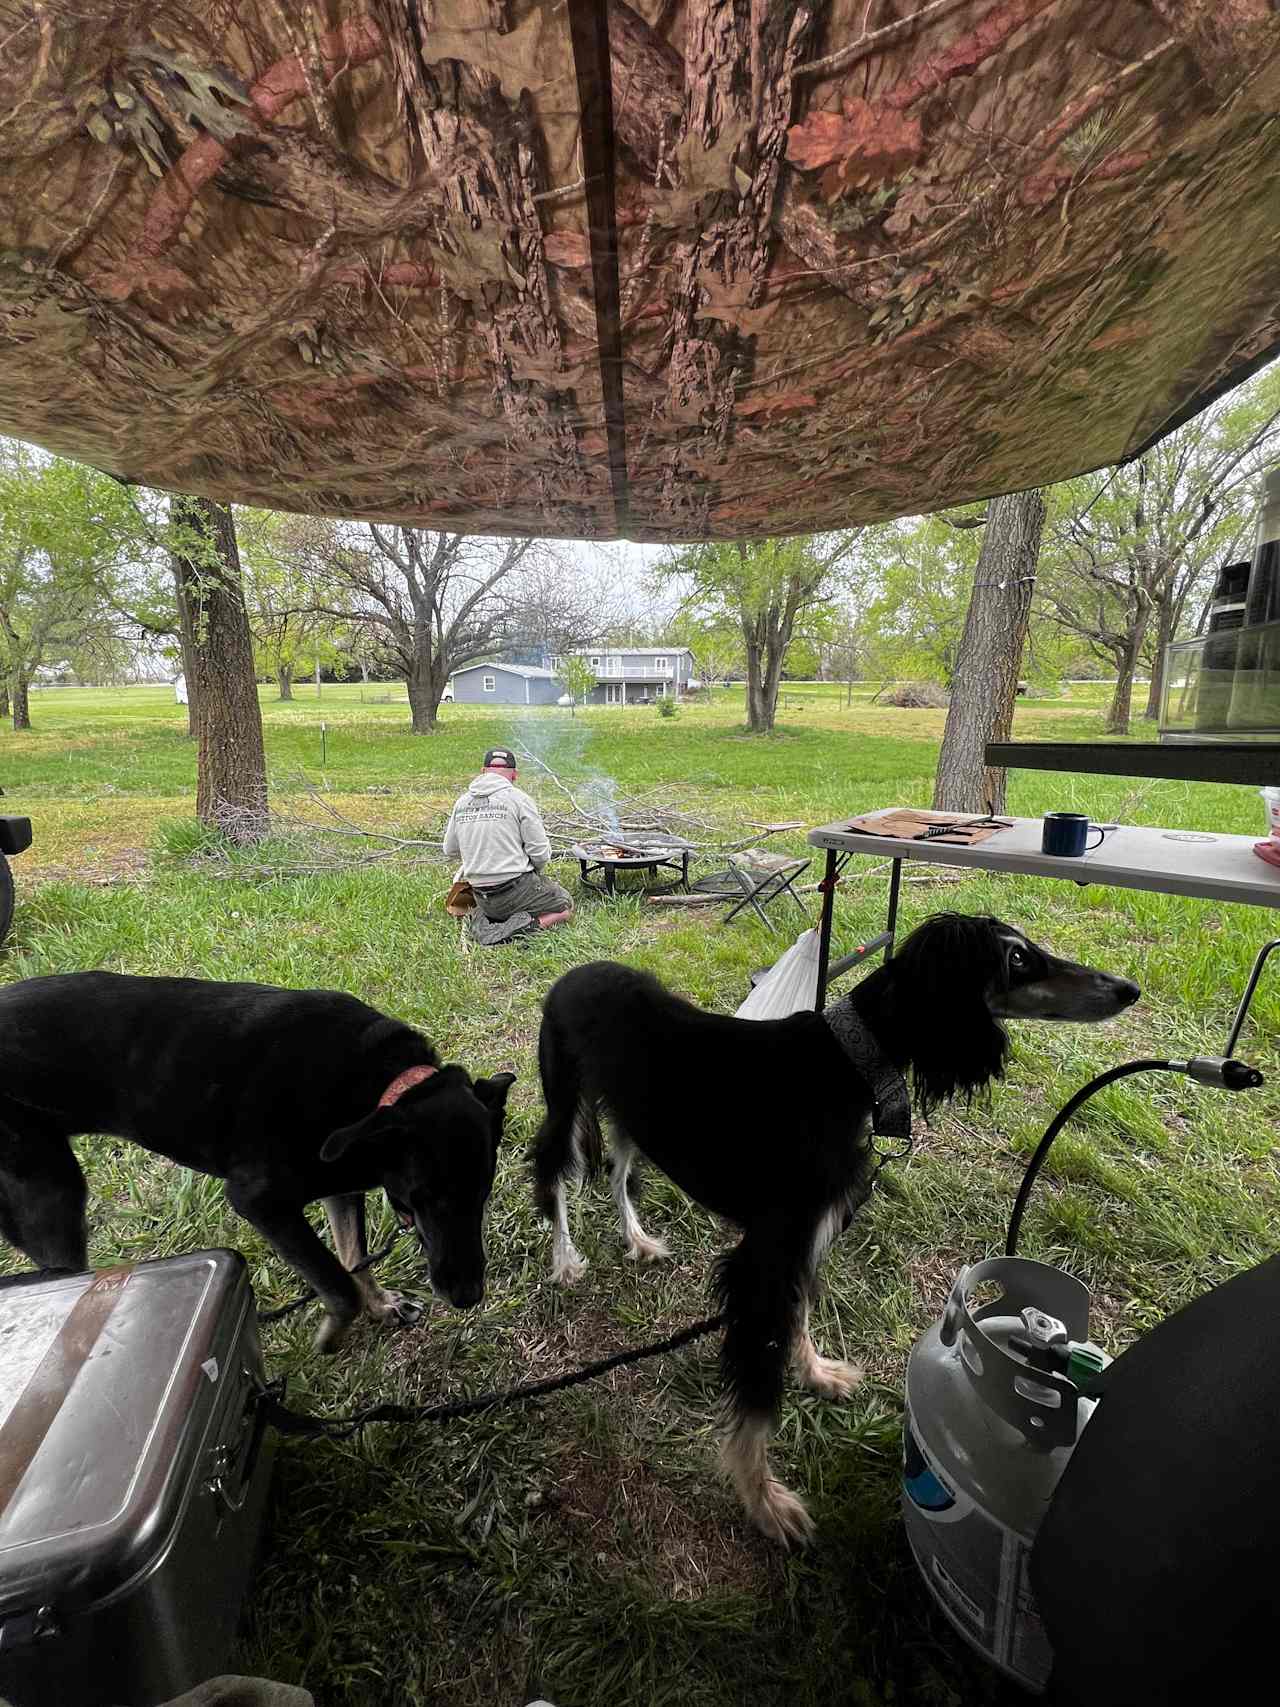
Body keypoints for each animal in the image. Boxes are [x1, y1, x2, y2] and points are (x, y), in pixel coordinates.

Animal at [0, 976, 515, 1345]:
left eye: (482, 1195)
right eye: (419, 1199)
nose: (467, 1297)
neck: (381, 1088)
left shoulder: (341, 1188)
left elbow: (352, 1257)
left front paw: (381, 1306)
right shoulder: (261, 1204)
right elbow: (338, 1283)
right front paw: (331, 1335)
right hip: (51, 1195)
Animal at [532, 921, 1140, 1549]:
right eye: (1017, 958)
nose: (1128, 990)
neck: (847, 1063)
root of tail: (576, 973)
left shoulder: (801, 1243)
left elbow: (797, 1318)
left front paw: (817, 1374)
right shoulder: (766, 1258)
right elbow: (758, 1392)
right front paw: (764, 1500)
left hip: (631, 1116)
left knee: (617, 1172)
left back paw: (637, 1240)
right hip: (565, 1098)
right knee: (550, 1171)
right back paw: (565, 1259)